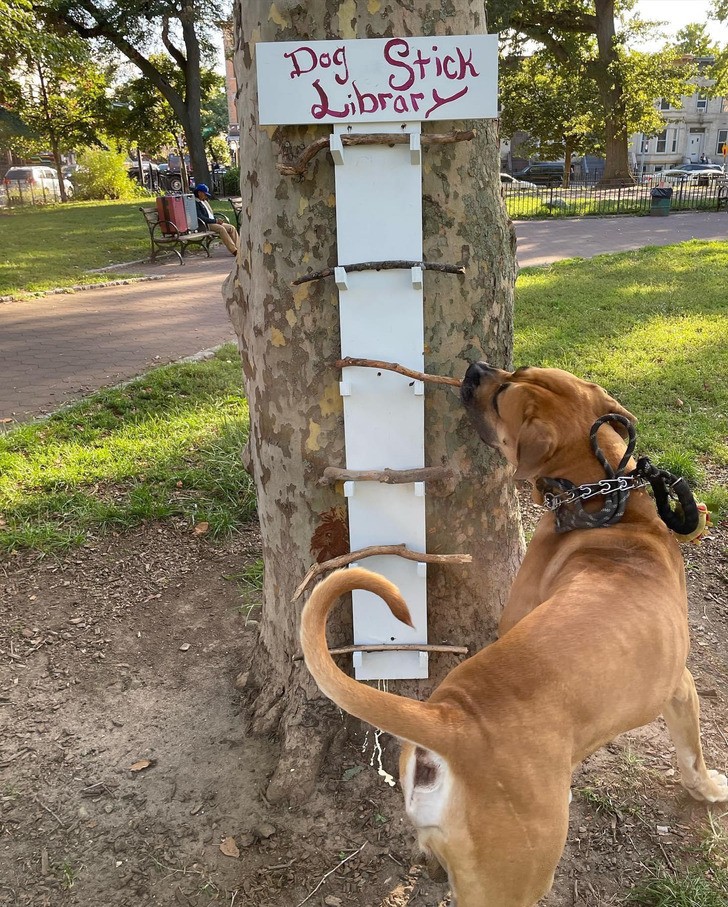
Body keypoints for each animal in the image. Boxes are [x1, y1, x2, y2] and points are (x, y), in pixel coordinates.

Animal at [298, 364, 724, 907]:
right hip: (517, 875)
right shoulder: (681, 687)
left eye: (506, 388)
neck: (607, 505)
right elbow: (692, 755)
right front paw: (710, 790)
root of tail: (449, 719)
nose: (476, 367)